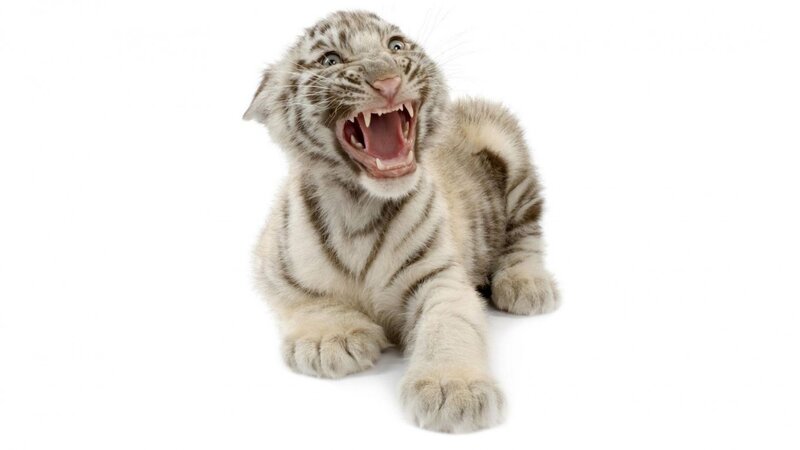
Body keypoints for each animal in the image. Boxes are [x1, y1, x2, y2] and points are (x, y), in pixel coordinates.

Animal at [244, 10, 559, 433]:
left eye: (395, 46)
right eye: (330, 60)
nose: (388, 81)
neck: (359, 205)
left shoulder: (439, 277)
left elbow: (450, 325)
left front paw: (452, 389)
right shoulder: (271, 262)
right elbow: (303, 298)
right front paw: (331, 338)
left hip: (504, 143)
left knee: (526, 232)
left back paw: (526, 284)